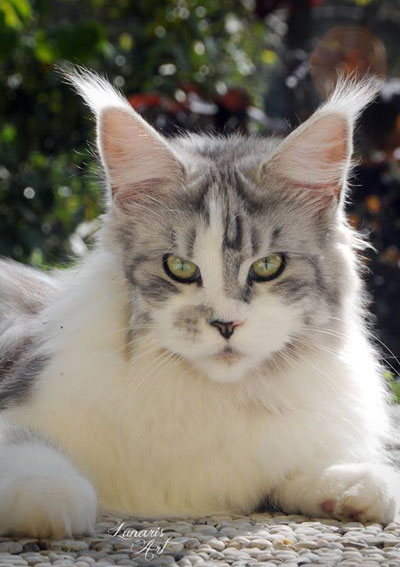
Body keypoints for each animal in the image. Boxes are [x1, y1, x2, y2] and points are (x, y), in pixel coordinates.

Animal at [0, 66, 400, 536]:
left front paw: (357, 486)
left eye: (268, 266)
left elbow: (302, 472)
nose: (226, 325)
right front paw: (50, 498)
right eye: (179, 267)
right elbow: (32, 451)